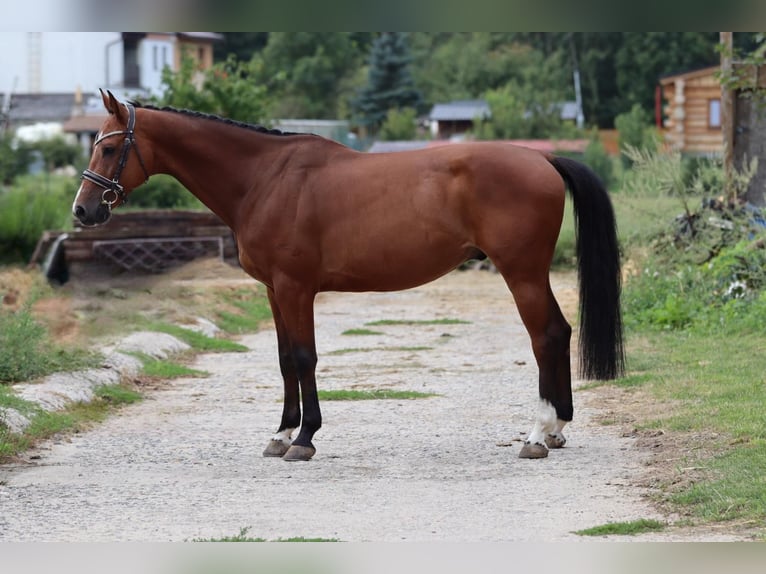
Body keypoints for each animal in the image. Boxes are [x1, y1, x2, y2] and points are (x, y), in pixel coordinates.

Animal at [70, 91, 624, 464]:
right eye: (94, 143)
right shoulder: (274, 291)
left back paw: (536, 434)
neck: (265, 179)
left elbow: (303, 357)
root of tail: (542, 158)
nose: (83, 210)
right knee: (559, 333)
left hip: (521, 272)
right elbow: (283, 360)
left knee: (545, 336)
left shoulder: (296, 288)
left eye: (109, 148)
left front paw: (304, 439)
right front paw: (280, 434)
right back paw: (557, 430)